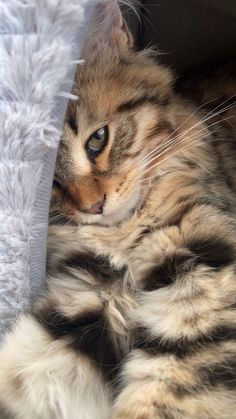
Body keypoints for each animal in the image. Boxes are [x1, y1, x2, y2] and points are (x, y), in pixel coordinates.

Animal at [0, 0, 236, 419]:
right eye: (51, 183)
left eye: (97, 140)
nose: (94, 206)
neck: (124, 235)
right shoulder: (87, 291)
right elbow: (27, 372)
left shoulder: (203, 271)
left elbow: (165, 391)